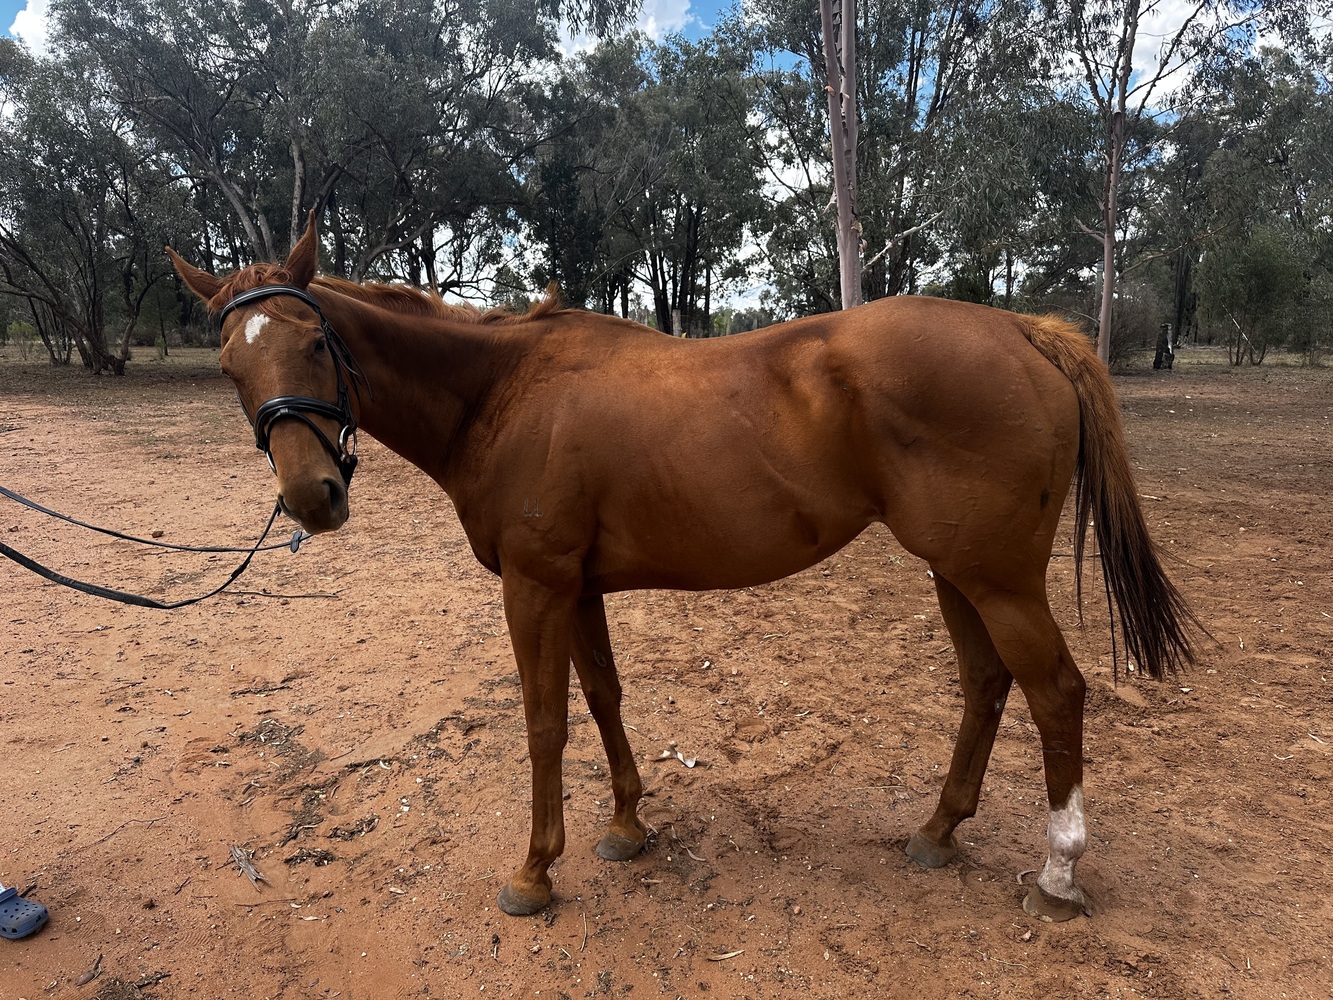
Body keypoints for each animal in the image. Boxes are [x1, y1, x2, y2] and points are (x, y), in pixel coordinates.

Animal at [167, 217, 1199, 923]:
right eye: (227, 368)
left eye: (315, 344)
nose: (311, 500)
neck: (504, 394)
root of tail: (1023, 332)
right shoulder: (576, 587)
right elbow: (603, 699)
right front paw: (627, 827)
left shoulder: (534, 586)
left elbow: (544, 724)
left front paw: (534, 872)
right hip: (956, 571)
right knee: (987, 683)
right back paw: (938, 833)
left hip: (996, 578)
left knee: (1054, 691)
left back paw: (1058, 872)